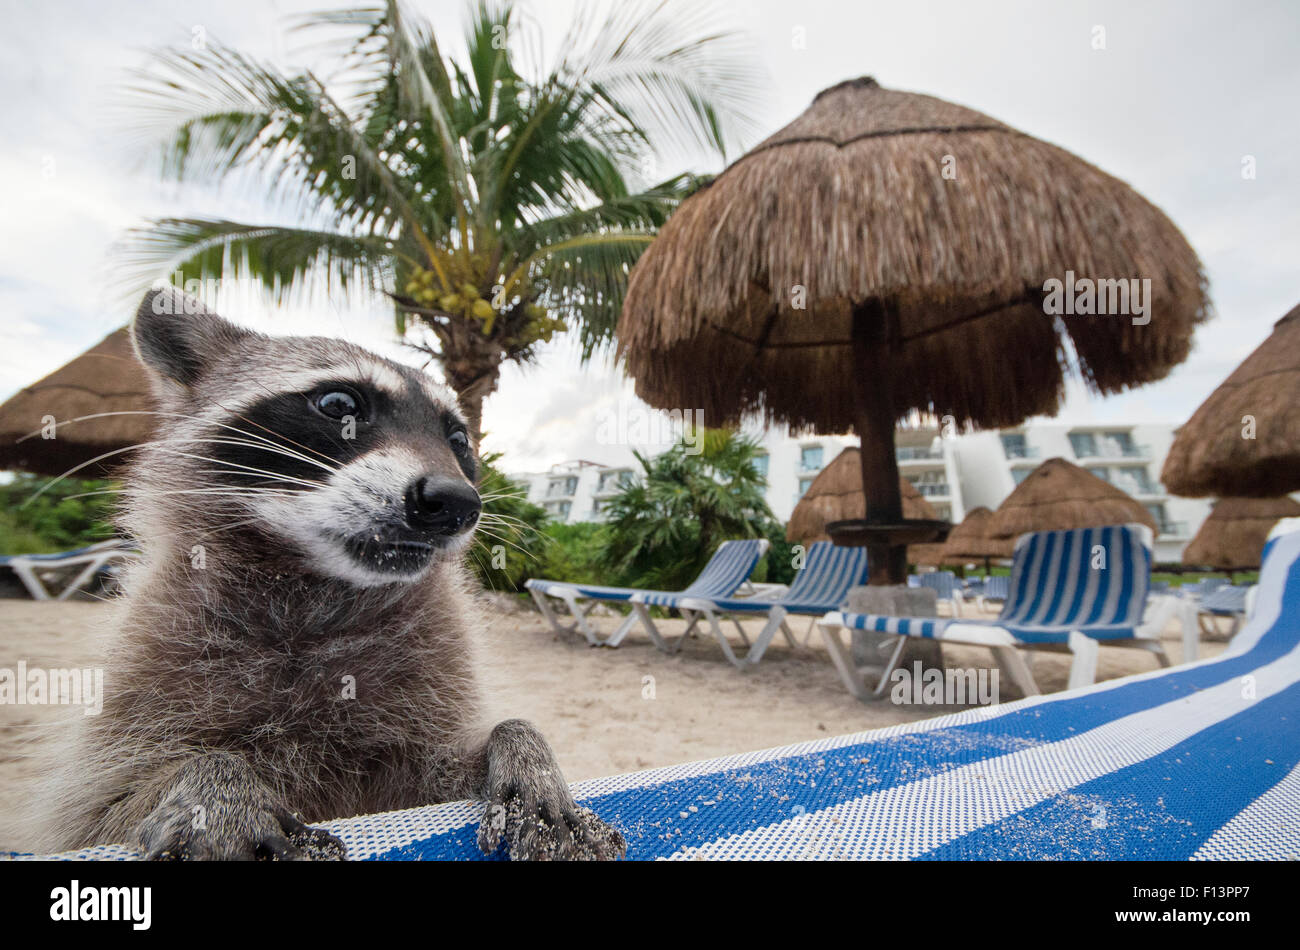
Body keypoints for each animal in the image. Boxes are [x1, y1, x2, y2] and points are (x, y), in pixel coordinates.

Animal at [31, 287, 625, 861]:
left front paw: (521, 748)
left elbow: (449, 767)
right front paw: (206, 779)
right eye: (339, 403)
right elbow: (100, 808)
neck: (321, 584)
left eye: (458, 440)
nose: (456, 503)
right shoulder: (144, 676)